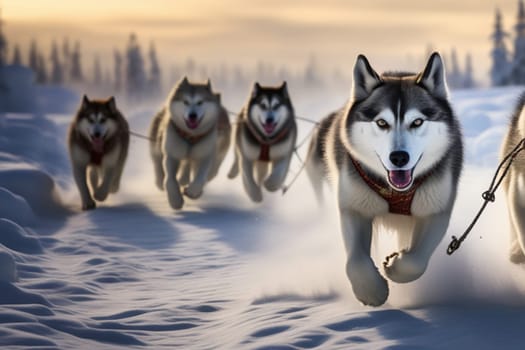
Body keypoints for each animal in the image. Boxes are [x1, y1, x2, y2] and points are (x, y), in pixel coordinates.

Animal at [147, 77, 225, 208]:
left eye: (200, 102)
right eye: (185, 102)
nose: (192, 115)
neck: (190, 138)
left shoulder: (205, 156)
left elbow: (201, 177)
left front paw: (193, 191)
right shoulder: (172, 154)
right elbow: (170, 179)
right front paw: (175, 200)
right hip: (157, 145)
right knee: (157, 163)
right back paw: (160, 180)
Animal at [304, 52, 460, 306]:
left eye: (417, 122)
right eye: (381, 122)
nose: (399, 157)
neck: (396, 191)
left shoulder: (435, 211)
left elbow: (416, 260)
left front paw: (396, 266)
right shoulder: (354, 208)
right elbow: (355, 262)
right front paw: (371, 290)